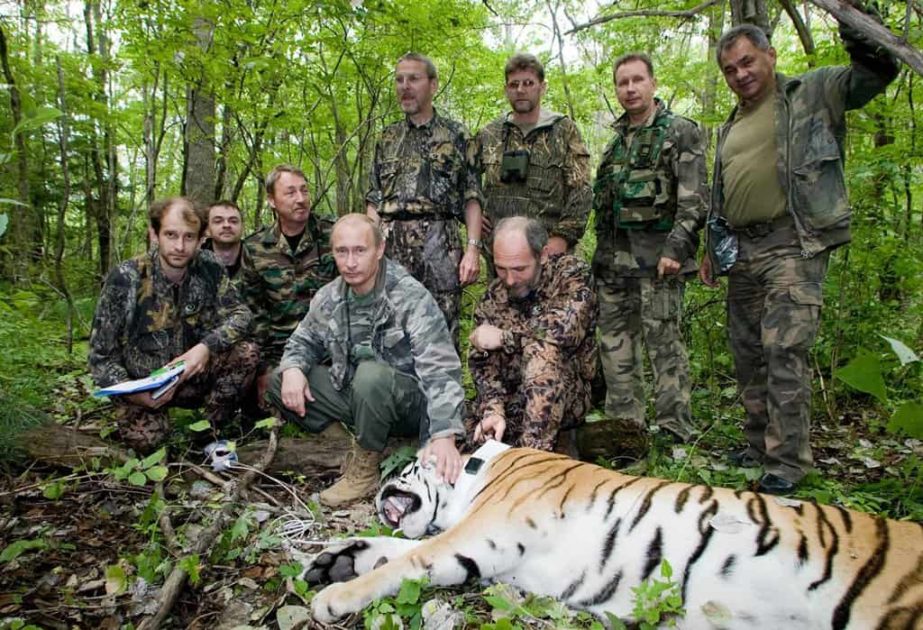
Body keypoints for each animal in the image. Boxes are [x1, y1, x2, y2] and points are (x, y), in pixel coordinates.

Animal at [304, 442, 923, 628]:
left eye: (406, 467)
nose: (377, 488)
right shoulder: (493, 555)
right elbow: (398, 549)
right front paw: (334, 560)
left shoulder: (487, 531)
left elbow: (410, 558)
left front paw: (331, 598)